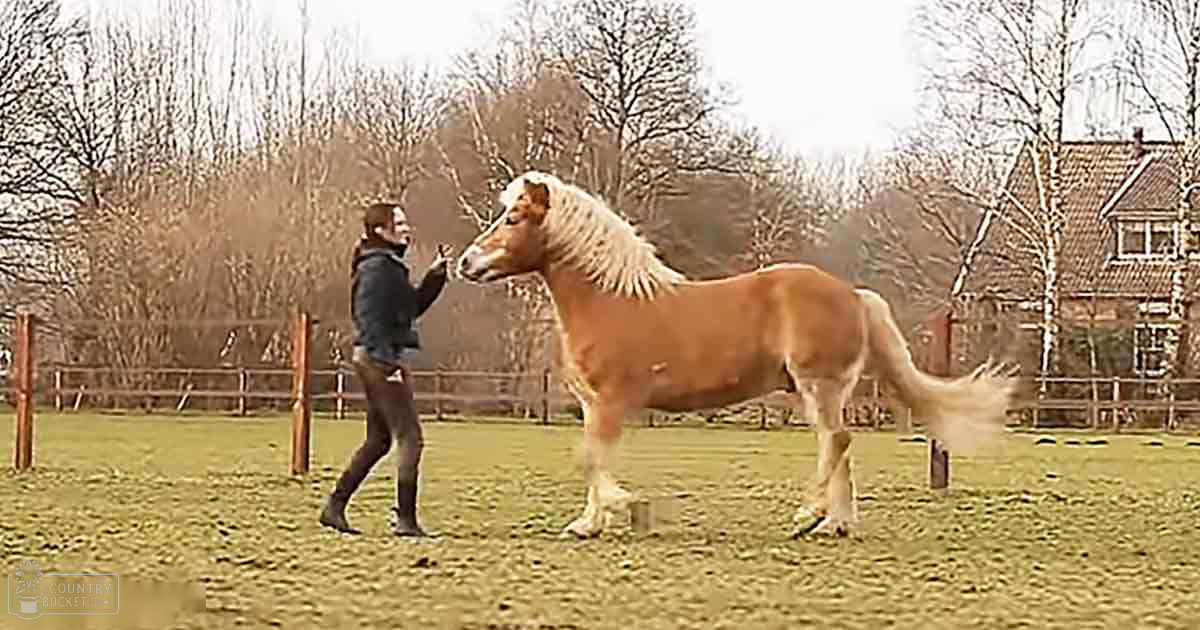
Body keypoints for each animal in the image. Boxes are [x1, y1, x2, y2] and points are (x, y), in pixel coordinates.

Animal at [455, 171, 1017, 539]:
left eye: (514, 217)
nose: (465, 262)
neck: (613, 299)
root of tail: (854, 294)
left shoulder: (613, 401)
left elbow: (591, 459)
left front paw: (621, 509)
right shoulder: (595, 406)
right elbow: (592, 458)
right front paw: (589, 522)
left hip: (819, 384)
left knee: (835, 441)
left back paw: (809, 516)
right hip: (823, 391)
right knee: (838, 444)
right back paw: (834, 524)